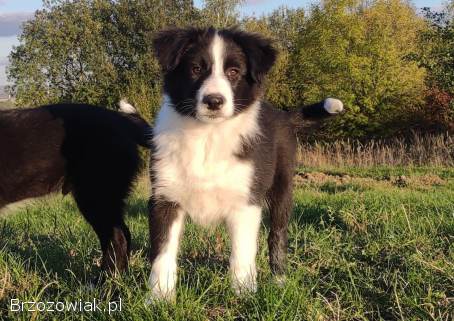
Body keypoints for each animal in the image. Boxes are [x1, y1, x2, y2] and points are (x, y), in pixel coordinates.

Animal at [149, 27, 344, 300]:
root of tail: (283, 115)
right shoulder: (165, 197)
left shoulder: (246, 202)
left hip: (282, 189)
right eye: (195, 69)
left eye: (234, 72)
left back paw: (279, 281)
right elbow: (163, 253)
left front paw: (243, 296)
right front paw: (159, 299)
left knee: (277, 236)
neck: (207, 136)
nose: (214, 101)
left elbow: (241, 253)